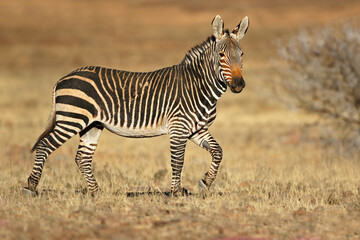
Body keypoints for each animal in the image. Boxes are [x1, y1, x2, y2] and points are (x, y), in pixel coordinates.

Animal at [24, 14, 250, 195]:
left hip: (92, 125)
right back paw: (31, 187)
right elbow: (178, 161)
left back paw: (96, 192)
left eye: (242, 54)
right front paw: (176, 192)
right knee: (44, 146)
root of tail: (62, 79)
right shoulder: (178, 128)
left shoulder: (196, 129)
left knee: (82, 158)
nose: (239, 85)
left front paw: (205, 182)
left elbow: (218, 152)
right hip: (71, 120)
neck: (198, 86)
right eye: (221, 55)